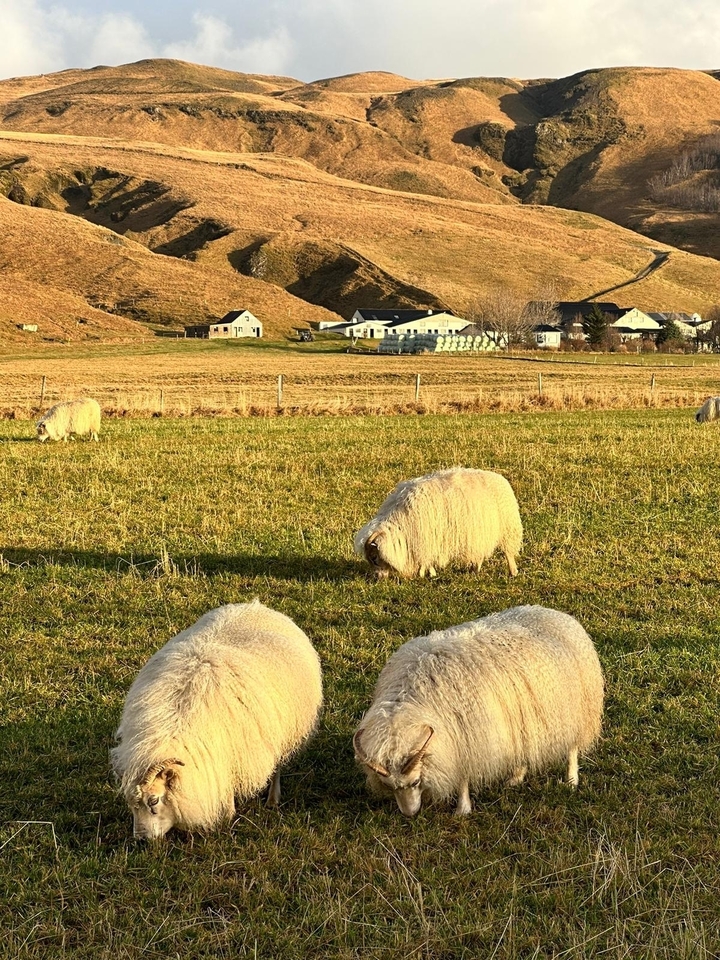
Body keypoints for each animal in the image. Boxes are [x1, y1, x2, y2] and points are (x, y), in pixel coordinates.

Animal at [111, 600, 323, 839]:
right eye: (131, 804)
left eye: (154, 801)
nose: (141, 838)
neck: (171, 728)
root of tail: (257, 606)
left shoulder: (230, 755)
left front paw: (228, 818)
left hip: (283, 731)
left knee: (277, 764)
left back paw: (272, 799)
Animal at [353, 605, 603, 816]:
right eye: (389, 786)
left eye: (415, 783)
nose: (410, 814)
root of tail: (560, 616)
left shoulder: (467, 739)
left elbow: (463, 776)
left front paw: (462, 810)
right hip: (524, 718)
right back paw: (516, 777)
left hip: (573, 709)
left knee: (572, 747)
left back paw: (571, 780)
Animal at [354, 467, 522, 579]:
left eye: (375, 558)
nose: (377, 578)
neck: (400, 522)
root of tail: (500, 479)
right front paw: (430, 573)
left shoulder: (427, 539)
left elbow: (426, 559)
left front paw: (426, 573)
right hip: (479, 531)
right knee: (479, 551)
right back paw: (475, 569)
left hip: (508, 527)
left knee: (508, 552)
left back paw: (513, 572)